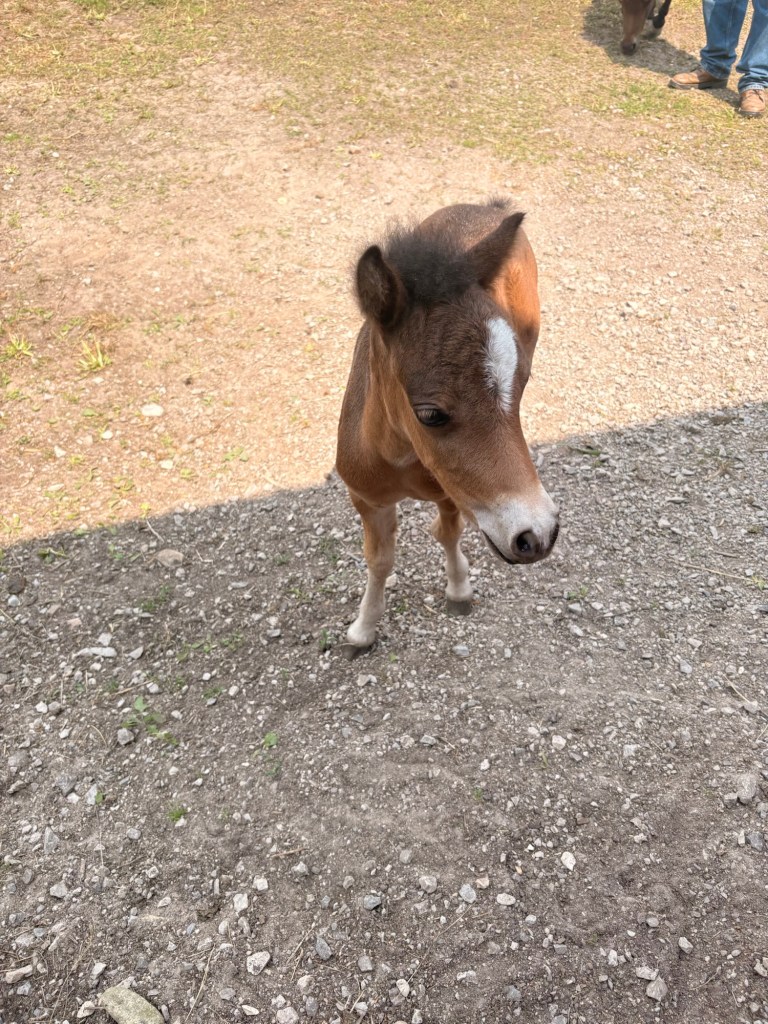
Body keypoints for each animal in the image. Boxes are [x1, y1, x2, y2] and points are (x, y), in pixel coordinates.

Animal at [335, 199, 560, 657]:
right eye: (430, 414)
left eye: (522, 384)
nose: (539, 534)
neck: (399, 457)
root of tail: (487, 206)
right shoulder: (365, 498)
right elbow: (379, 559)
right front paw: (363, 628)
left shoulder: (452, 491)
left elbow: (449, 534)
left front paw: (459, 590)